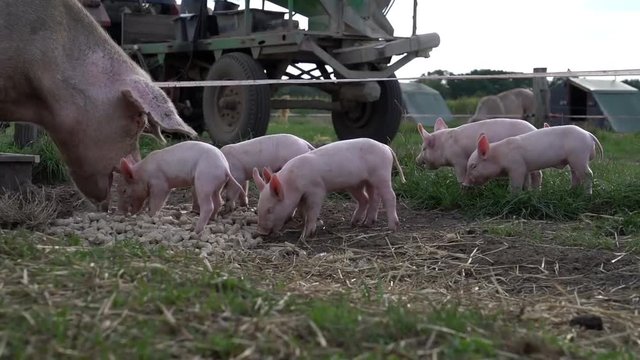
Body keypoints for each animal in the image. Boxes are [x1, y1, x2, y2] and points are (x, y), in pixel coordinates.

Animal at [116, 141, 244, 233]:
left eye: (124, 190)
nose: (121, 212)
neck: (144, 173)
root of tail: (225, 168)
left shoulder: (160, 184)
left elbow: (157, 201)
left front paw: (151, 215)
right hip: (216, 185)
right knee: (218, 201)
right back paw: (212, 220)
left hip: (204, 181)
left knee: (208, 206)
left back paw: (196, 230)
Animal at [250, 139, 404, 242]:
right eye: (258, 208)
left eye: (270, 209)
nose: (261, 232)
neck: (293, 183)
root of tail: (385, 147)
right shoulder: (302, 196)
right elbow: (302, 210)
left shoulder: (316, 190)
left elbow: (312, 211)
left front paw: (305, 236)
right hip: (360, 182)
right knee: (368, 198)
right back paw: (360, 223)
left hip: (381, 175)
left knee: (390, 196)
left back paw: (392, 227)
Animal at [412, 117, 544, 188]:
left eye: (424, 148)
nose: (416, 160)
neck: (445, 145)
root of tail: (534, 129)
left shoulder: (459, 160)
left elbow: (460, 176)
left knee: (537, 174)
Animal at [464, 126, 604, 194]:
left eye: (473, 166)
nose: (464, 184)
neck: (500, 155)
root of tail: (588, 134)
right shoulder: (525, 168)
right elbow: (527, 182)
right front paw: (530, 193)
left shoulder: (517, 167)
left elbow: (515, 184)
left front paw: (512, 195)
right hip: (573, 160)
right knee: (575, 175)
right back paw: (570, 191)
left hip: (579, 157)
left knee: (588, 174)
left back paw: (587, 195)